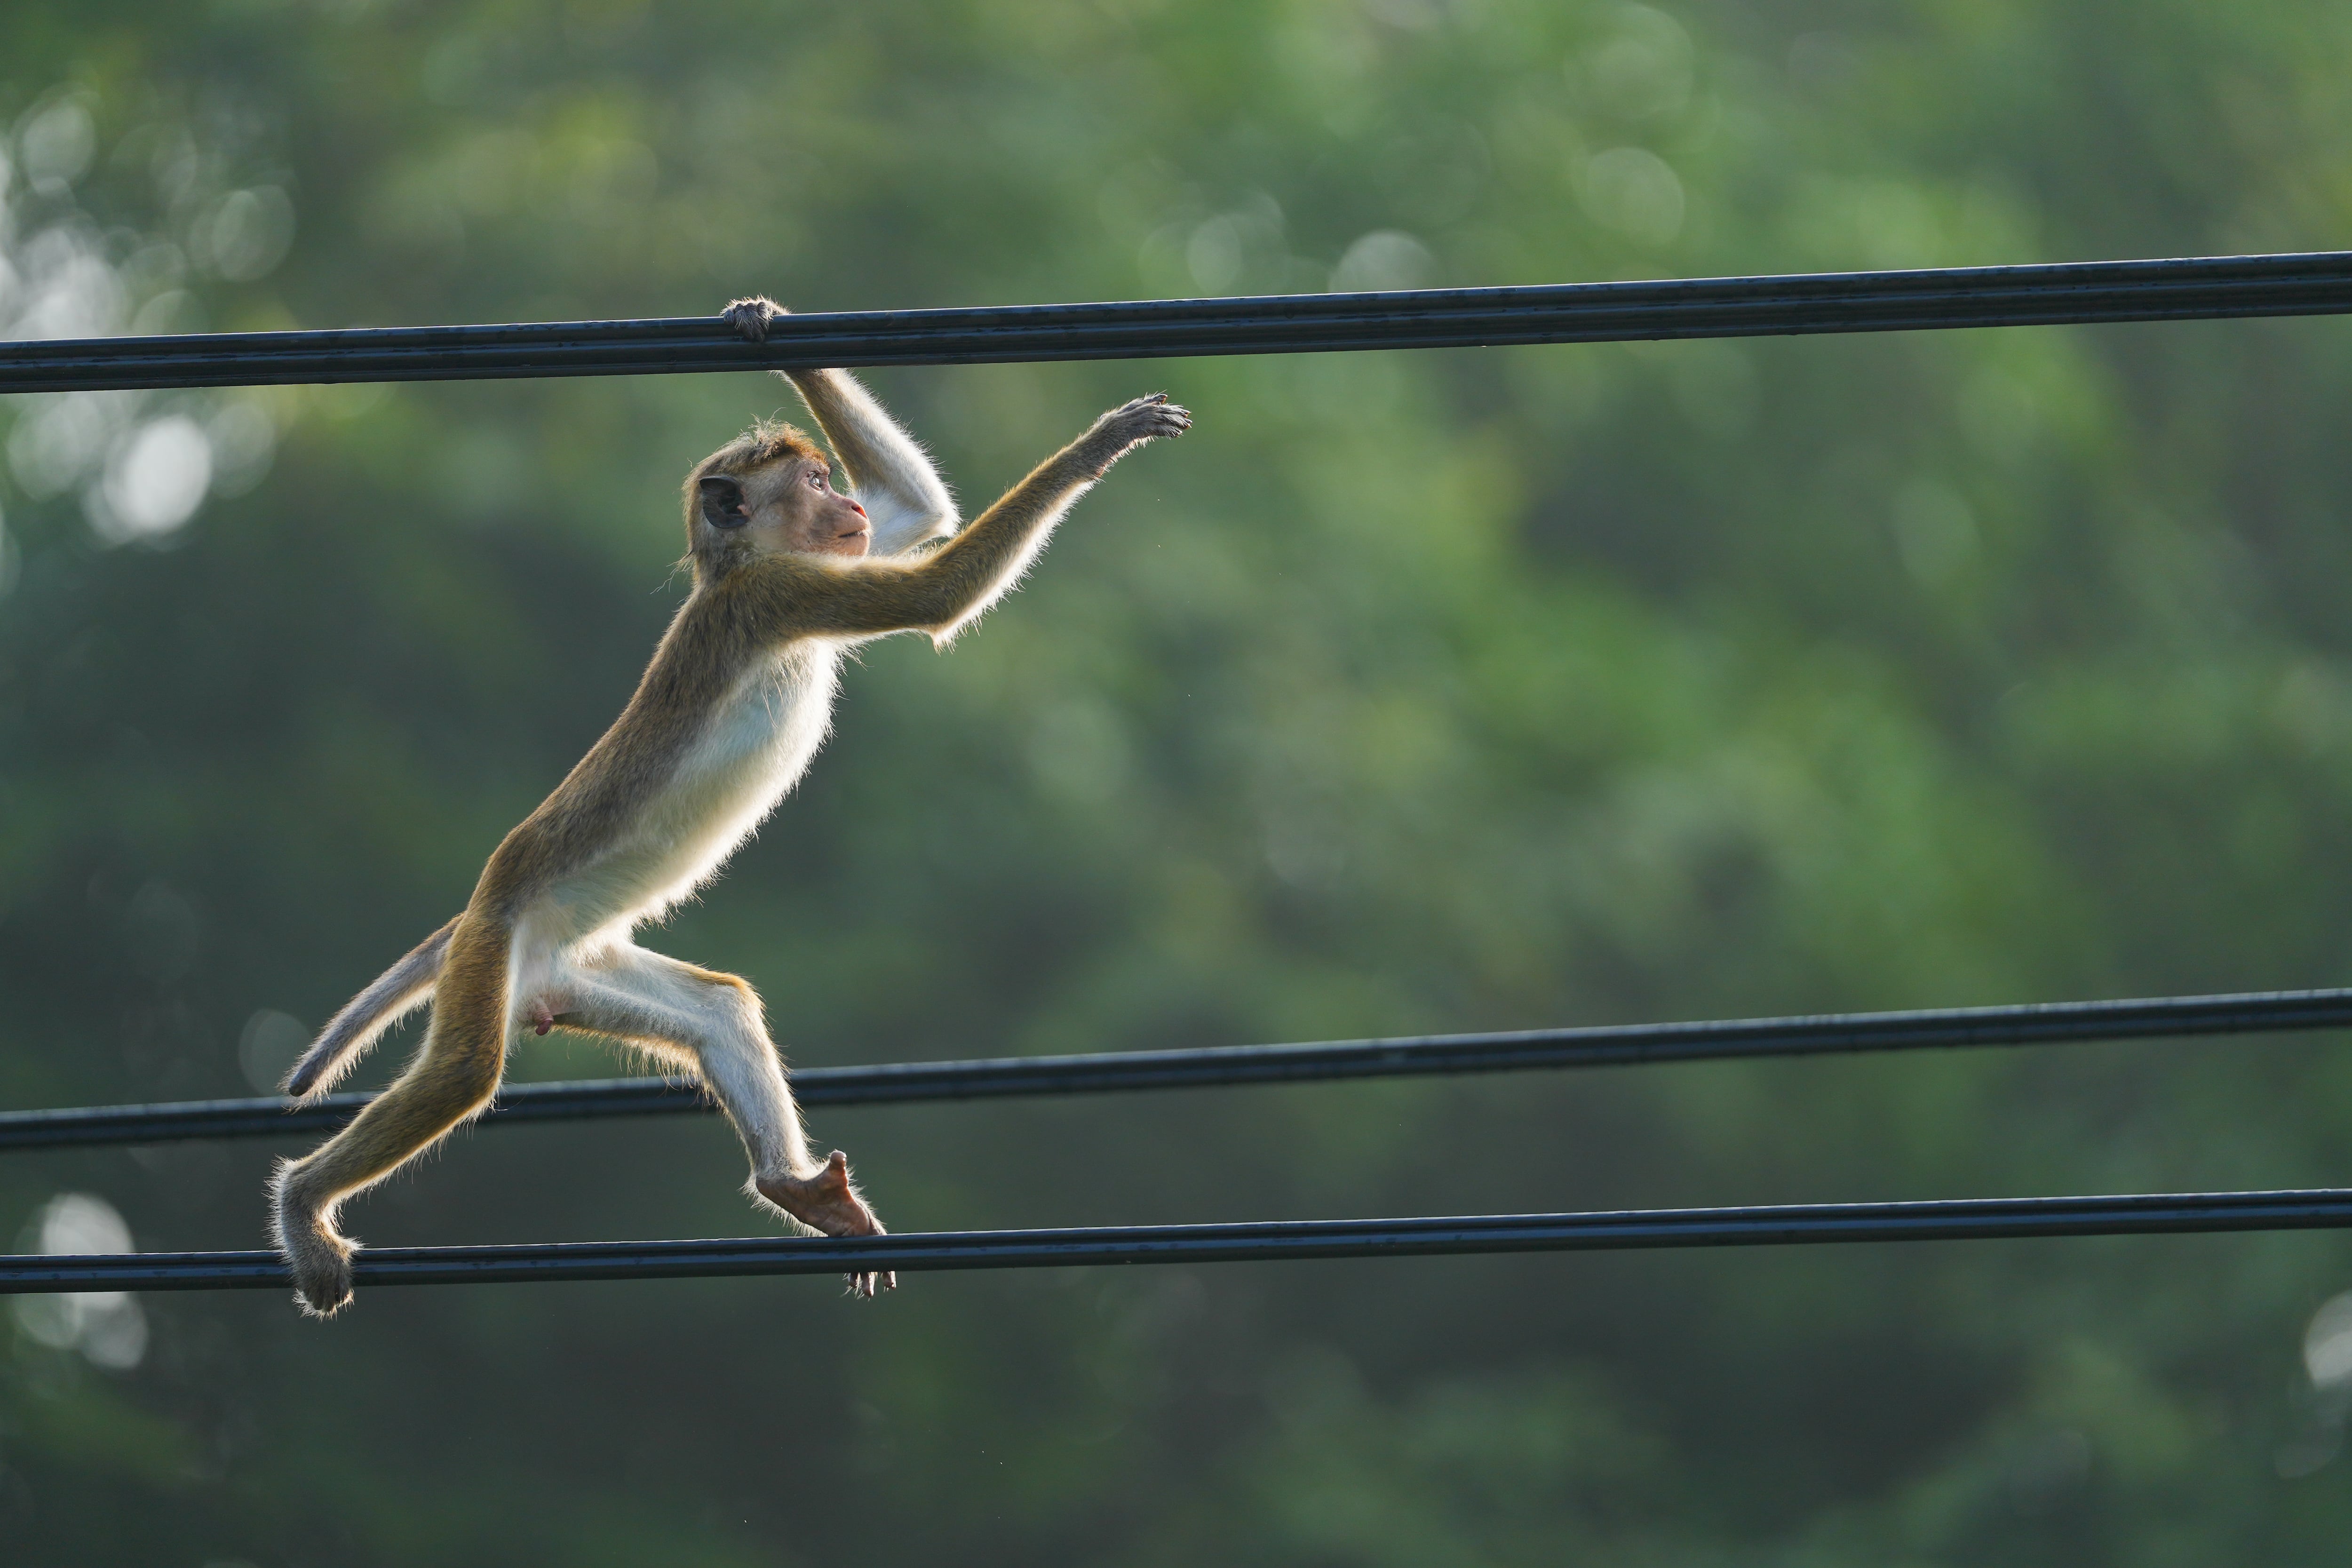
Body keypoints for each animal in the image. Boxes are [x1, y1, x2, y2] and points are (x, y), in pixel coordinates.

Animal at [273, 291, 1195, 1316]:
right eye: (814, 484)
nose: (847, 507)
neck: (737, 567)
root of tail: (488, 915)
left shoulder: (814, 569)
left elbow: (921, 514)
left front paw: (766, 325)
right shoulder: (782, 592)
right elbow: (937, 589)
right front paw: (1093, 448)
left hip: (573, 970)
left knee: (721, 1010)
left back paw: (792, 1185)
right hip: (492, 948)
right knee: (465, 1071)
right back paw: (304, 1201)